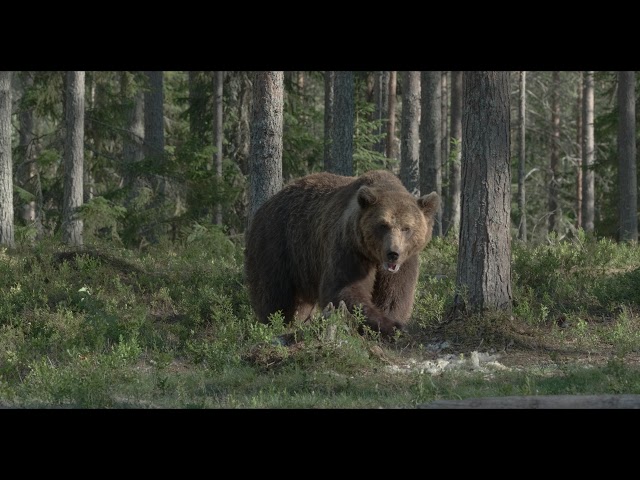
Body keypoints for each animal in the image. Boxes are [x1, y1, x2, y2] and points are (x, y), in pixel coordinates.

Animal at [245, 169, 440, 338]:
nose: (393, 253)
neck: (374, 257)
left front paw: (395, 323)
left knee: (300, 302)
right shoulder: (350, 248)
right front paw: (388, 325)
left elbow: (395, 294)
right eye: (383, 225)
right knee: (274, 293)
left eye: (407, 228)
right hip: (278, 244)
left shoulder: (405, 262)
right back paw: (277, 323)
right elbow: (344, 289)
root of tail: (265, 205)